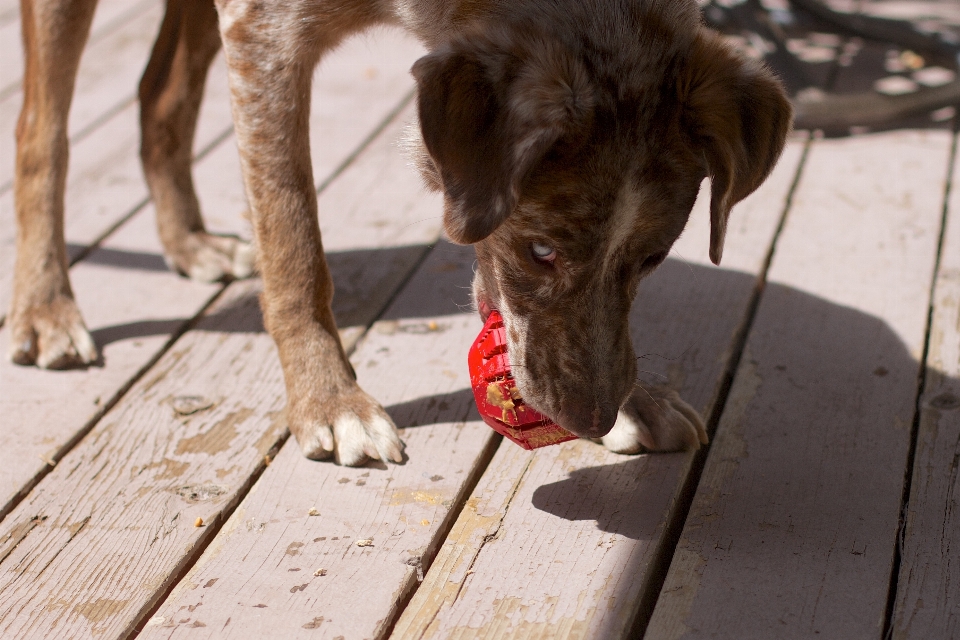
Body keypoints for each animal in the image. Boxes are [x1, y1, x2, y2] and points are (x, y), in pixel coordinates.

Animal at [11, 1, 792, 470]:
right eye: (541, 250)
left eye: (653, 258)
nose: (594, 417)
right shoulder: (267, 38)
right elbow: (294, 243)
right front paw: (331, 402)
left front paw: (637, 402)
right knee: (39, 132)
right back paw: (46, 308)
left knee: (161, 94)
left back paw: (188, 242)